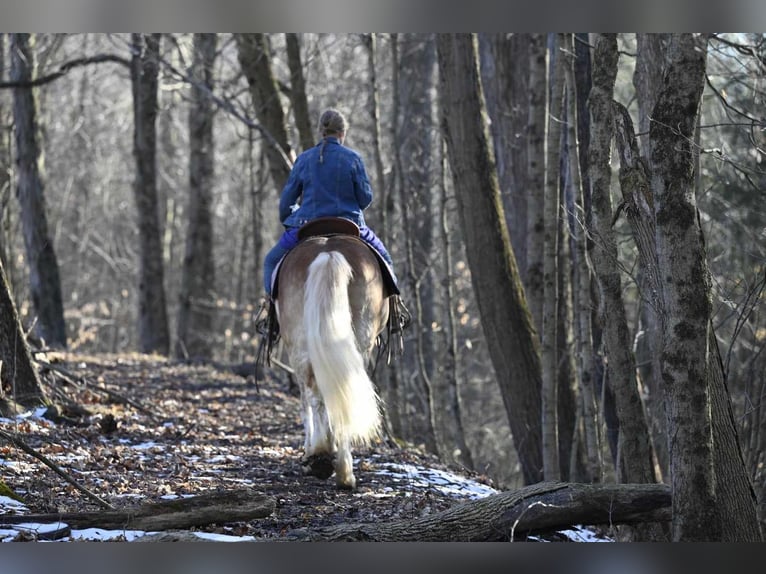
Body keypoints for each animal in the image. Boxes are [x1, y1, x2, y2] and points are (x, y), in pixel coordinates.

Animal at [272, 220, 390, 490]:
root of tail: (328, 253)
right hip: (359, 340)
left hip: (301, 342)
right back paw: (342, 471)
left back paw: (326, 461)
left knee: (315, 394)